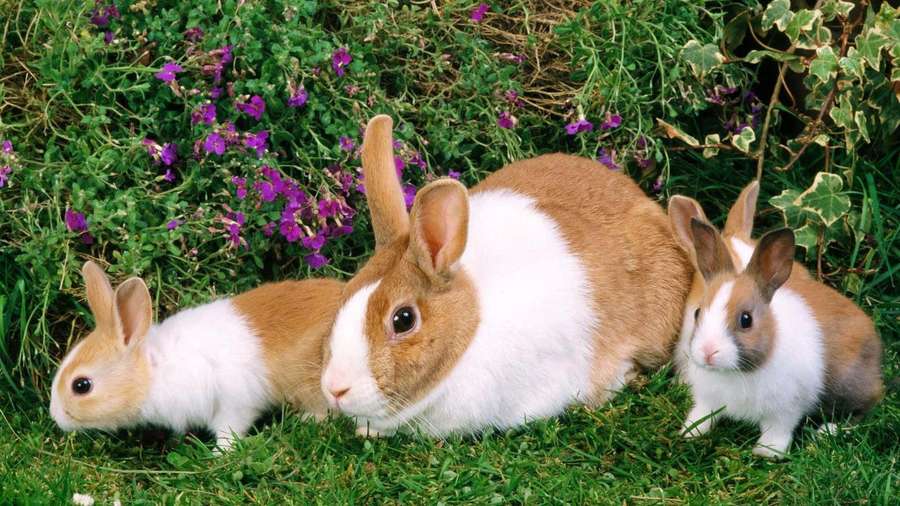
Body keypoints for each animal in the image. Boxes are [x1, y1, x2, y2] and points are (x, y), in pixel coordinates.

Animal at [50, 261, 344, 449]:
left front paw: (219, 454)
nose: (56, 417)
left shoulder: (233, 405)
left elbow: (230, 431)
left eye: (81, 385)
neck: (154, 369)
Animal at [668, 182, 884, 458]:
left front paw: (766, 452)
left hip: (848, 386)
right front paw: (690, 432)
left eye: (746, 319)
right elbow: (702, 414)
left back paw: (828, 431)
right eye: (697, 313)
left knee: (867, 407)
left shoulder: (787, 406)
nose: (708, 352)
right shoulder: (706, 396)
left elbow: (778, 428)